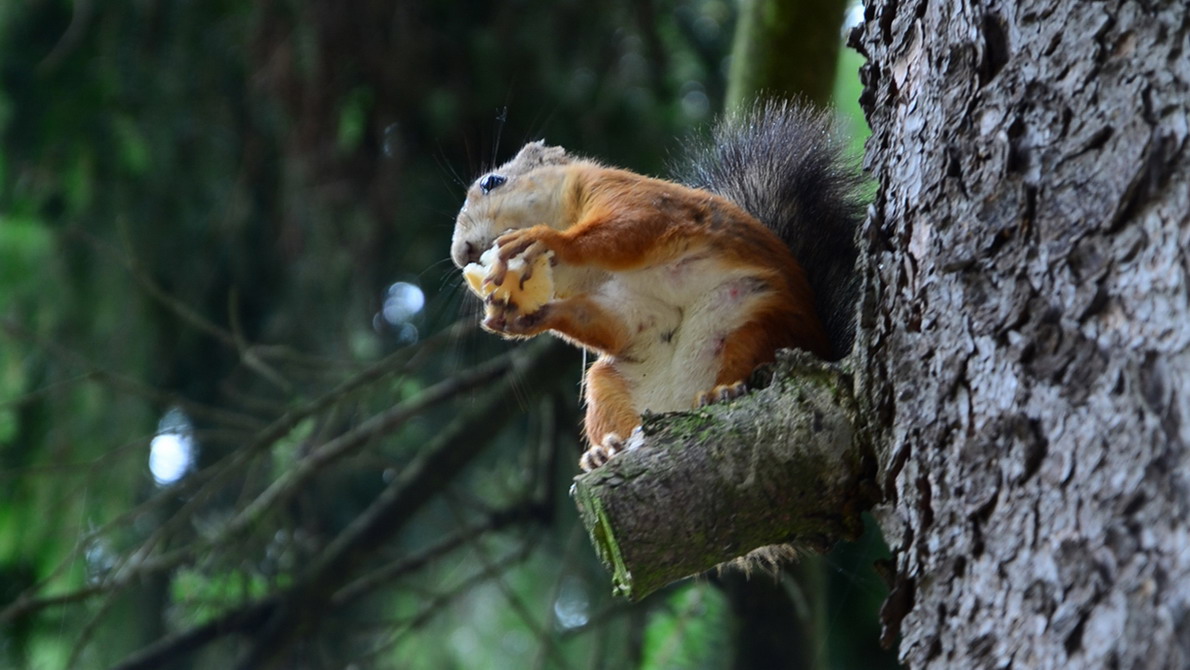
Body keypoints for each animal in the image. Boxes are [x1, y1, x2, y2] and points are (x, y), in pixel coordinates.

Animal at [449, 102, 861, 473]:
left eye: (492, 182)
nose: (459, 253)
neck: (583, 271)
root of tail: (676, 403)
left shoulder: (632, 196)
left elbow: (630, 227)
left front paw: (546, 238)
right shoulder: (622, 300)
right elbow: (613, 322)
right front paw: (521, 318)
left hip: (757, 326)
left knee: (751, 354)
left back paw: (725, 390)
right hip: (608, 386)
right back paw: (605, 451)